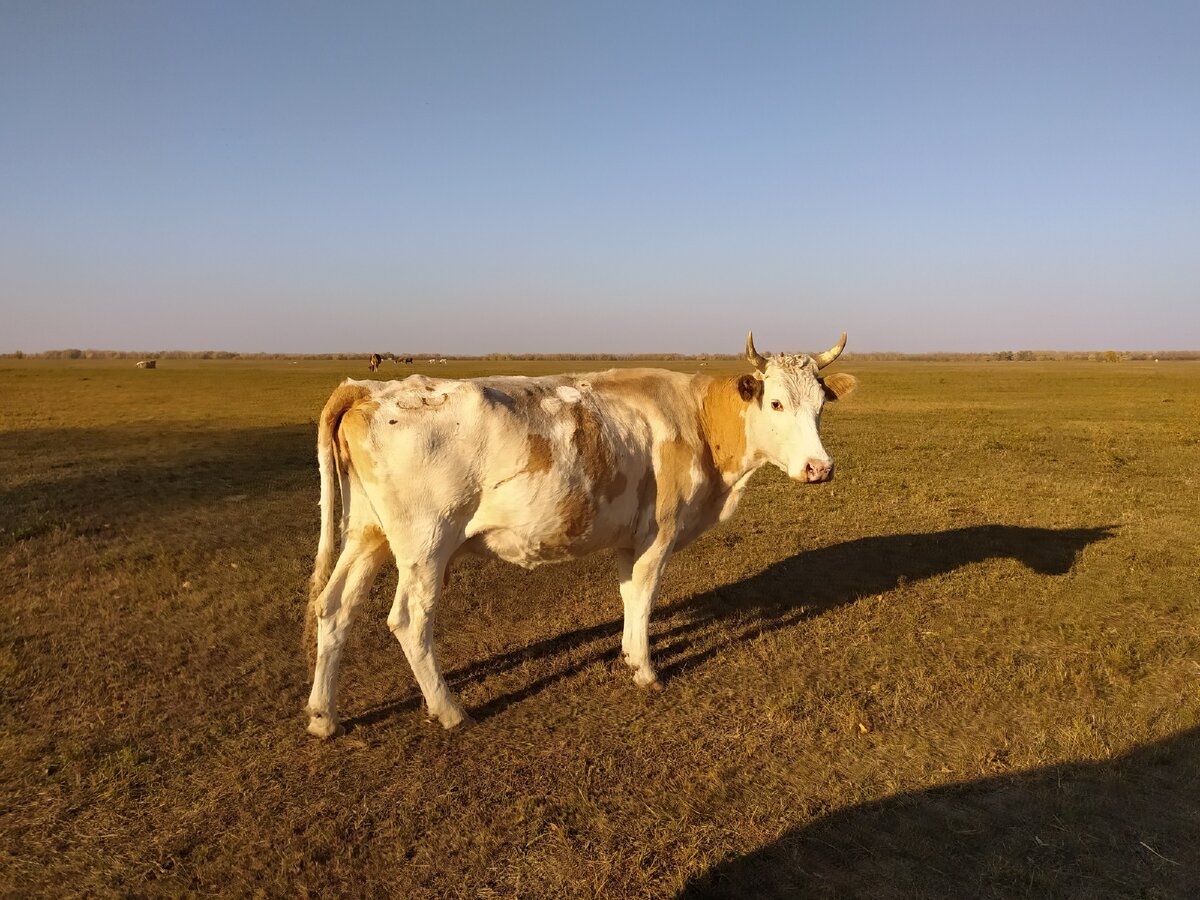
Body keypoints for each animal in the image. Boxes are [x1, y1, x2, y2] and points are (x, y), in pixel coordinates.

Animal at [304, 333, 859, 739]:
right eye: (776, 403)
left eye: (820, 405)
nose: (819, 468)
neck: (698, 419)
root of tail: (369, 388)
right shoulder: (659, 533)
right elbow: (645, 598)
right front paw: (646, 670)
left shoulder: (630, 538)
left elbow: (629, 594)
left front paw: (629, 654)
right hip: (425, 544)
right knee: (409, 621)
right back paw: (449, 709)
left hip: (367, 533)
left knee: (334, 606)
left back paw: (323, 716)